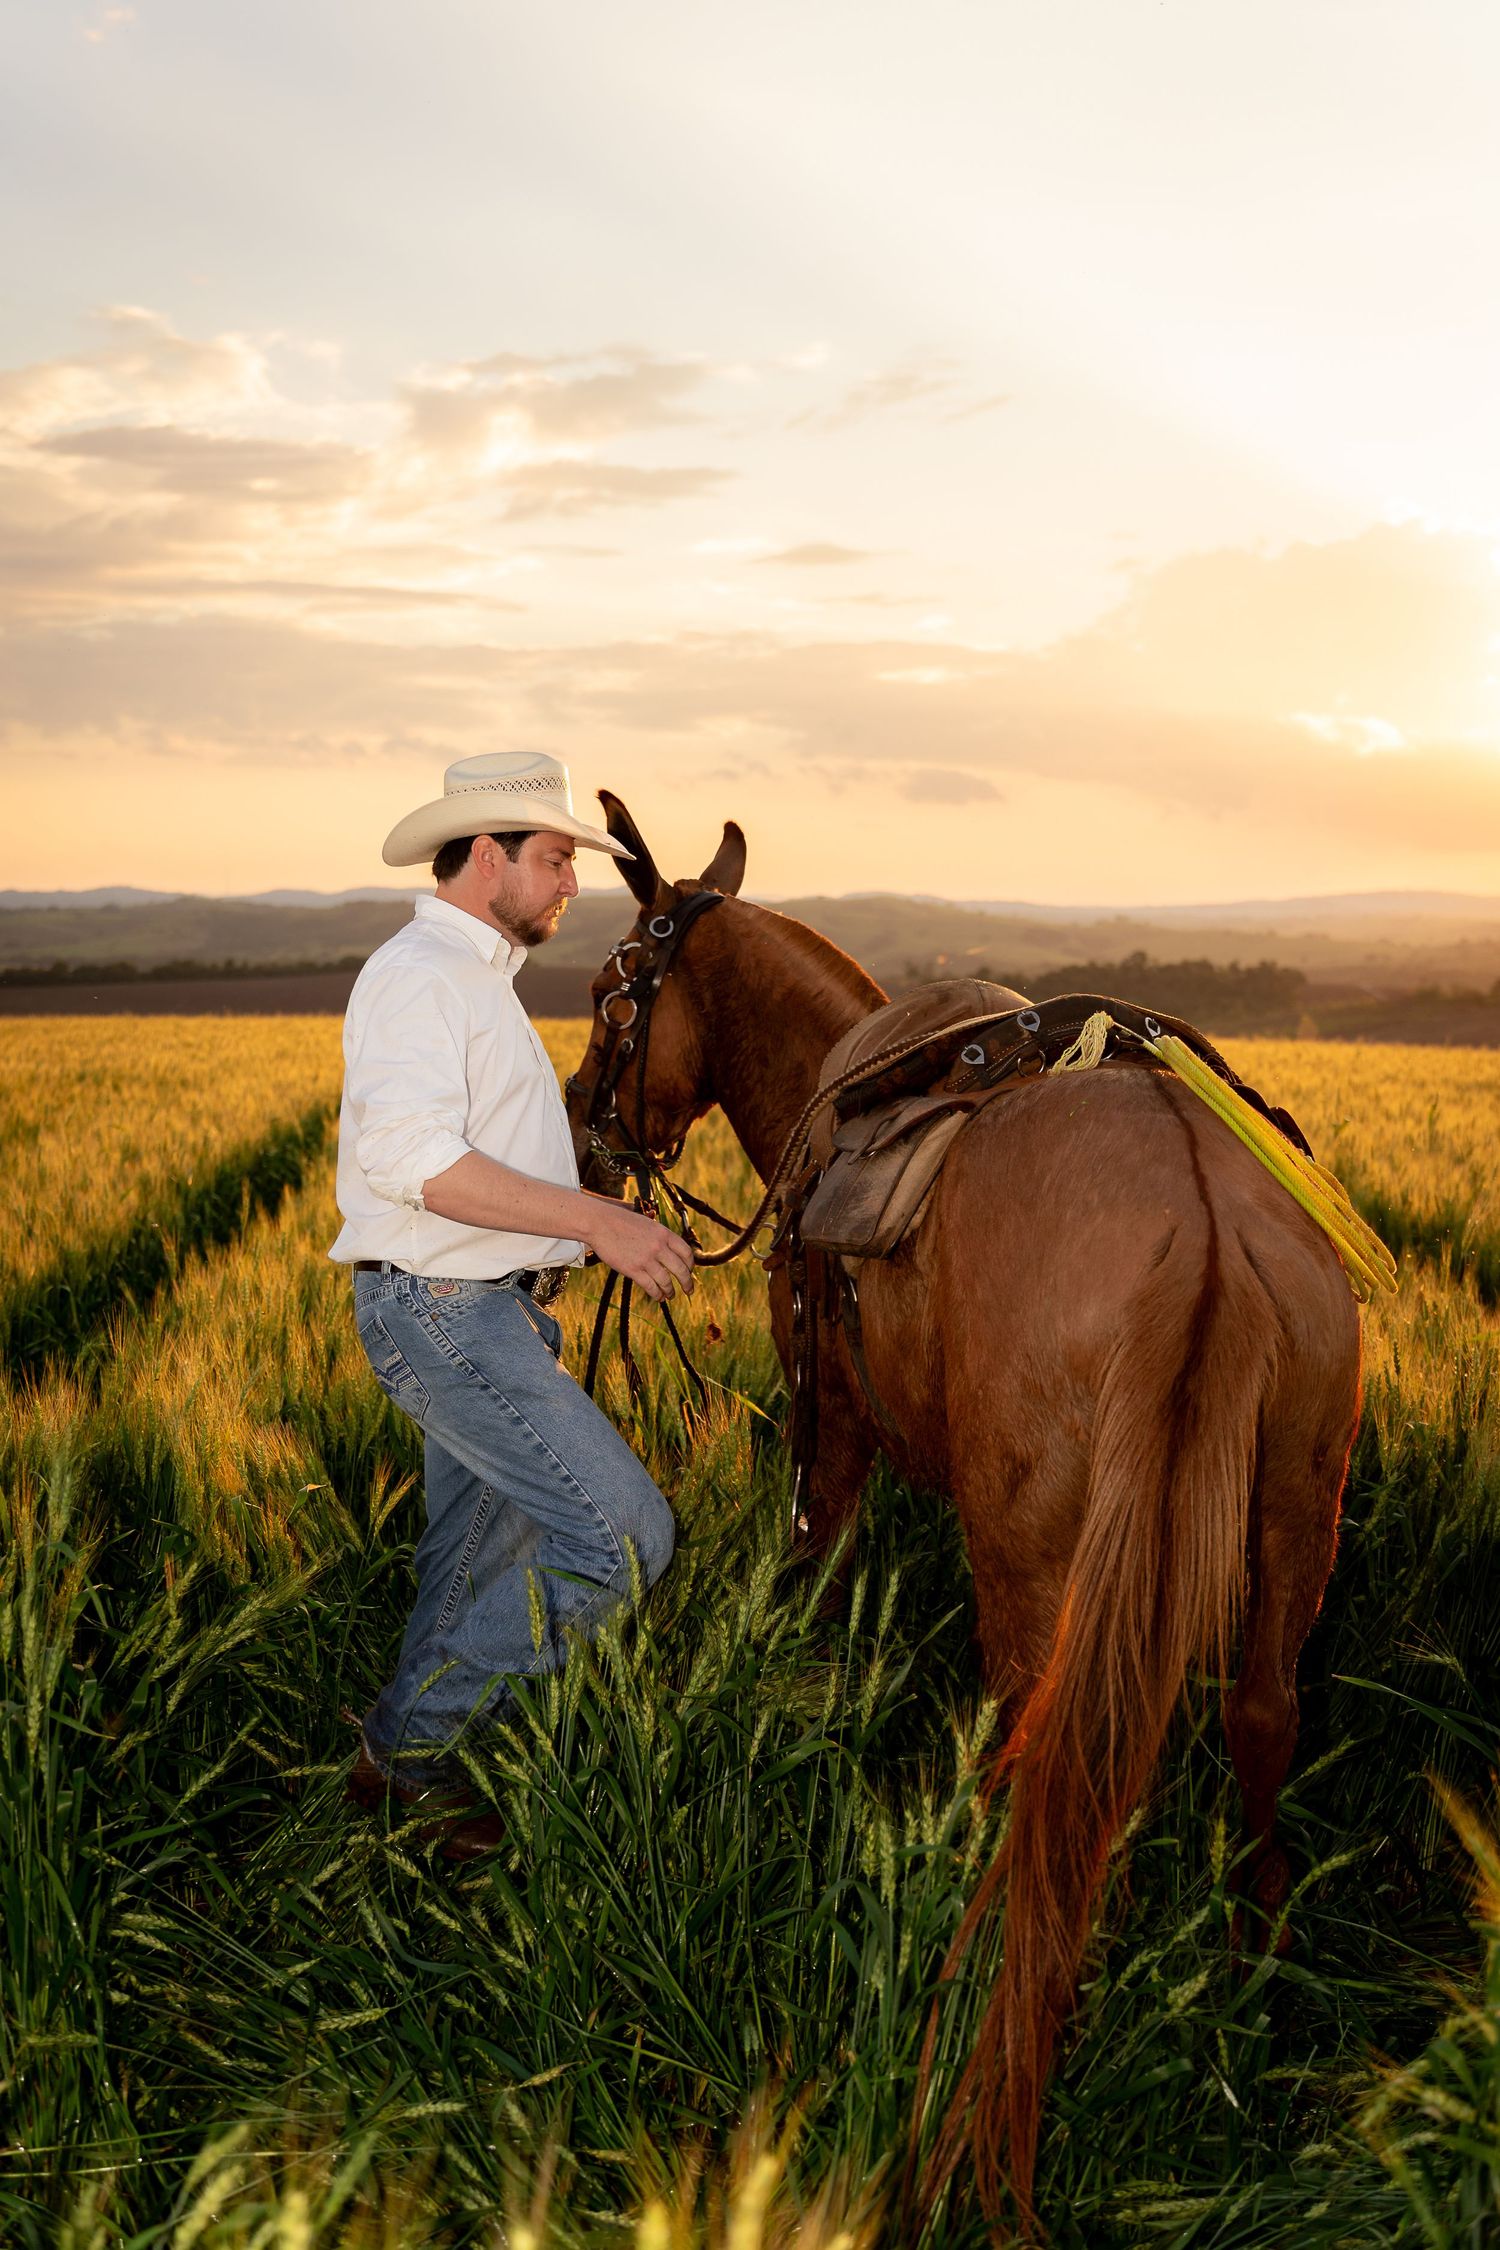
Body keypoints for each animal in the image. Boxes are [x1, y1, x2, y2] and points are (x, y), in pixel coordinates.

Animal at [563, 796, 1363, 2233]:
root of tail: (1205, 1226)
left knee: (1034, 1764)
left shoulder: (830, 1434)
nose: (576, 1129)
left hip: (1033, 1556)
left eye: (610, 993)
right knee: (1257, 1722)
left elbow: (822, 1583)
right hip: (1292, 1526)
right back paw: (1249, 1977)